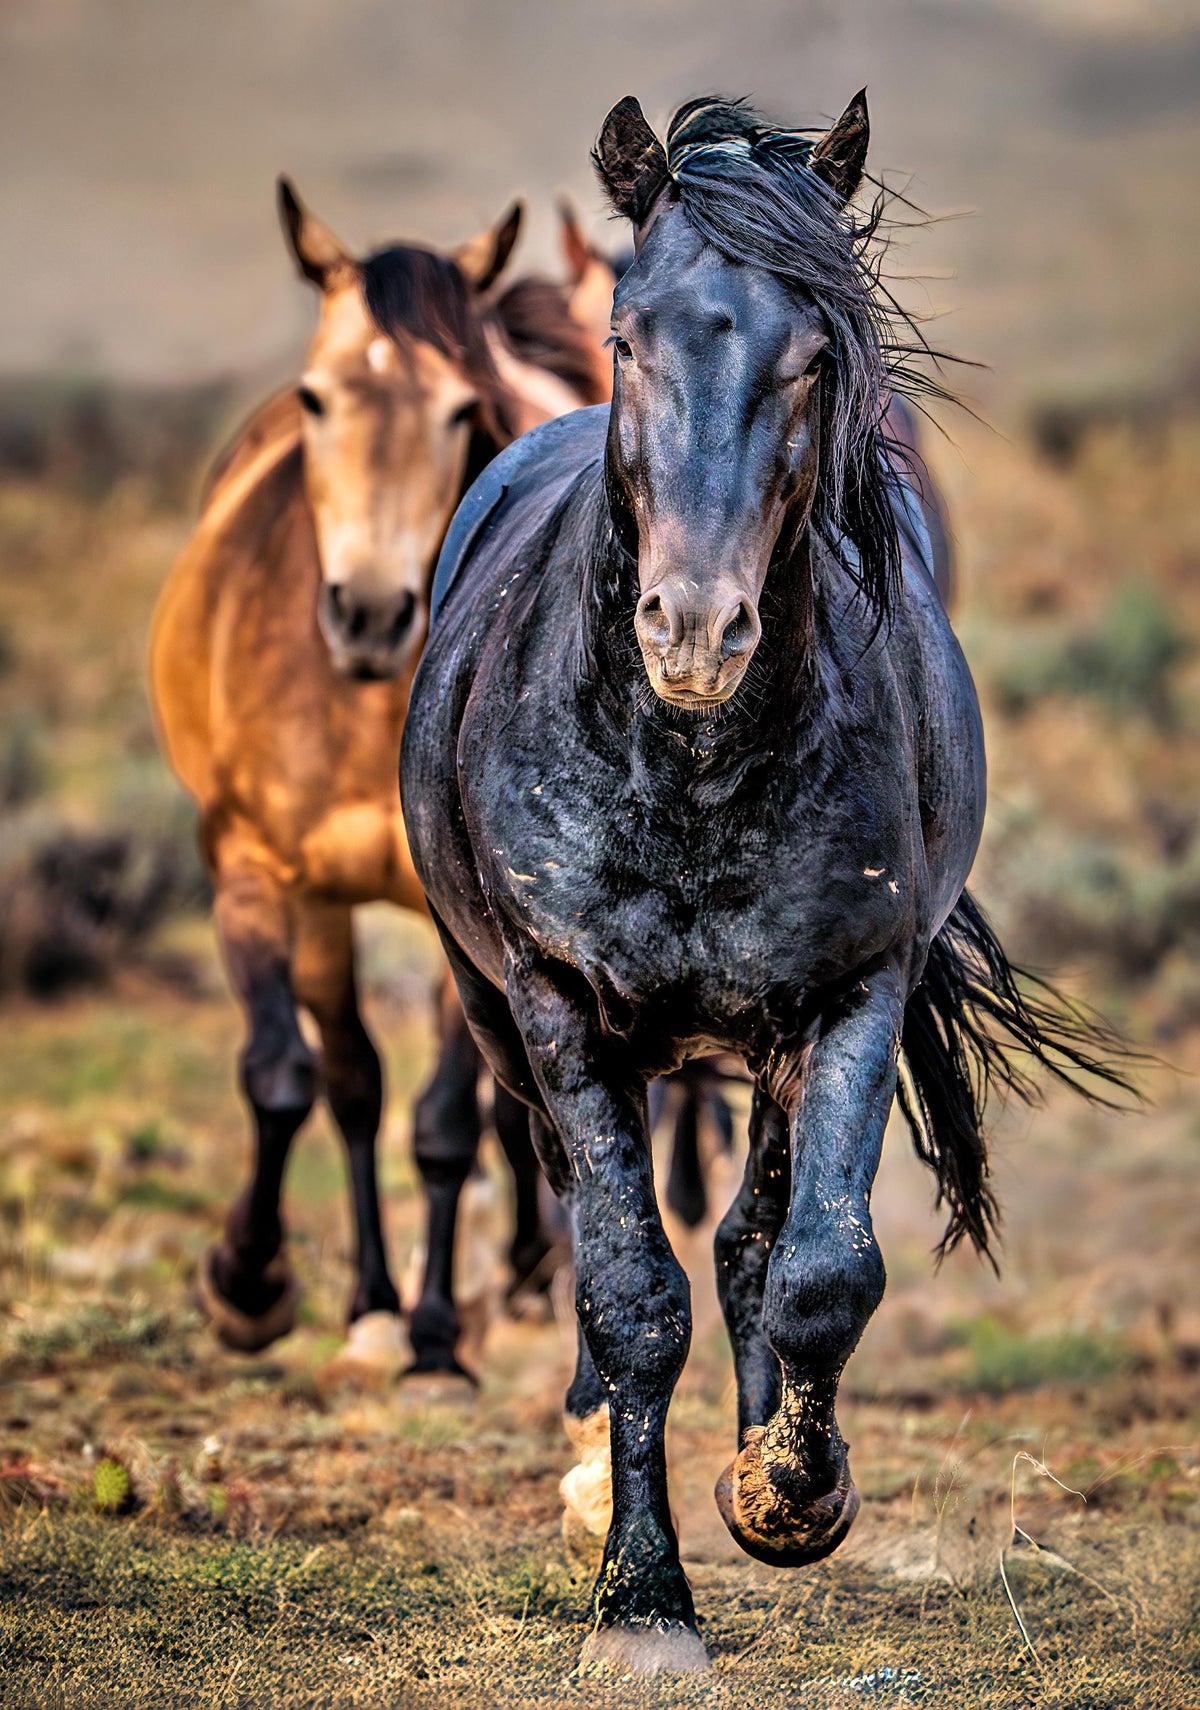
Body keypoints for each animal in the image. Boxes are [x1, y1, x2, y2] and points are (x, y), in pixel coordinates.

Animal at [150, 181, 615, 1380]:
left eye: (459, 411)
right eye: (316, 400)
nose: (368, 611)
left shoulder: (469, 908)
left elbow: (449, 1123)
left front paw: (438, 1336)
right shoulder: (257, 871)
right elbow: (291, 1077)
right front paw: (249, 1283)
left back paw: (527, 1274)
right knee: (353, 1083)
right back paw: (372, 1297)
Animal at [401, 91, 1132, 1671]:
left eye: (813, 355)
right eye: (631, 339)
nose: (693, 627)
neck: (688, 768)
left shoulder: (851, 994)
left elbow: (816, 1271)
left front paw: (790, 1490)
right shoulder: (559, 1005)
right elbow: (628, 1286)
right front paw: (641, 1599)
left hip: (767, 1045)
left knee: (751, 1242)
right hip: (505, 1025)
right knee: (582, 1211)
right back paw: (583, 1471)